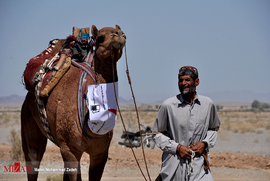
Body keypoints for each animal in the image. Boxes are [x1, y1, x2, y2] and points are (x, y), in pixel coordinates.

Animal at [21, 24, 126, 180]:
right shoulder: (70, 149)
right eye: (100, 37)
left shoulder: (100, 153)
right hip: (28, 117)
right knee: (33, 157)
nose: (119, 34)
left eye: (123, 33)